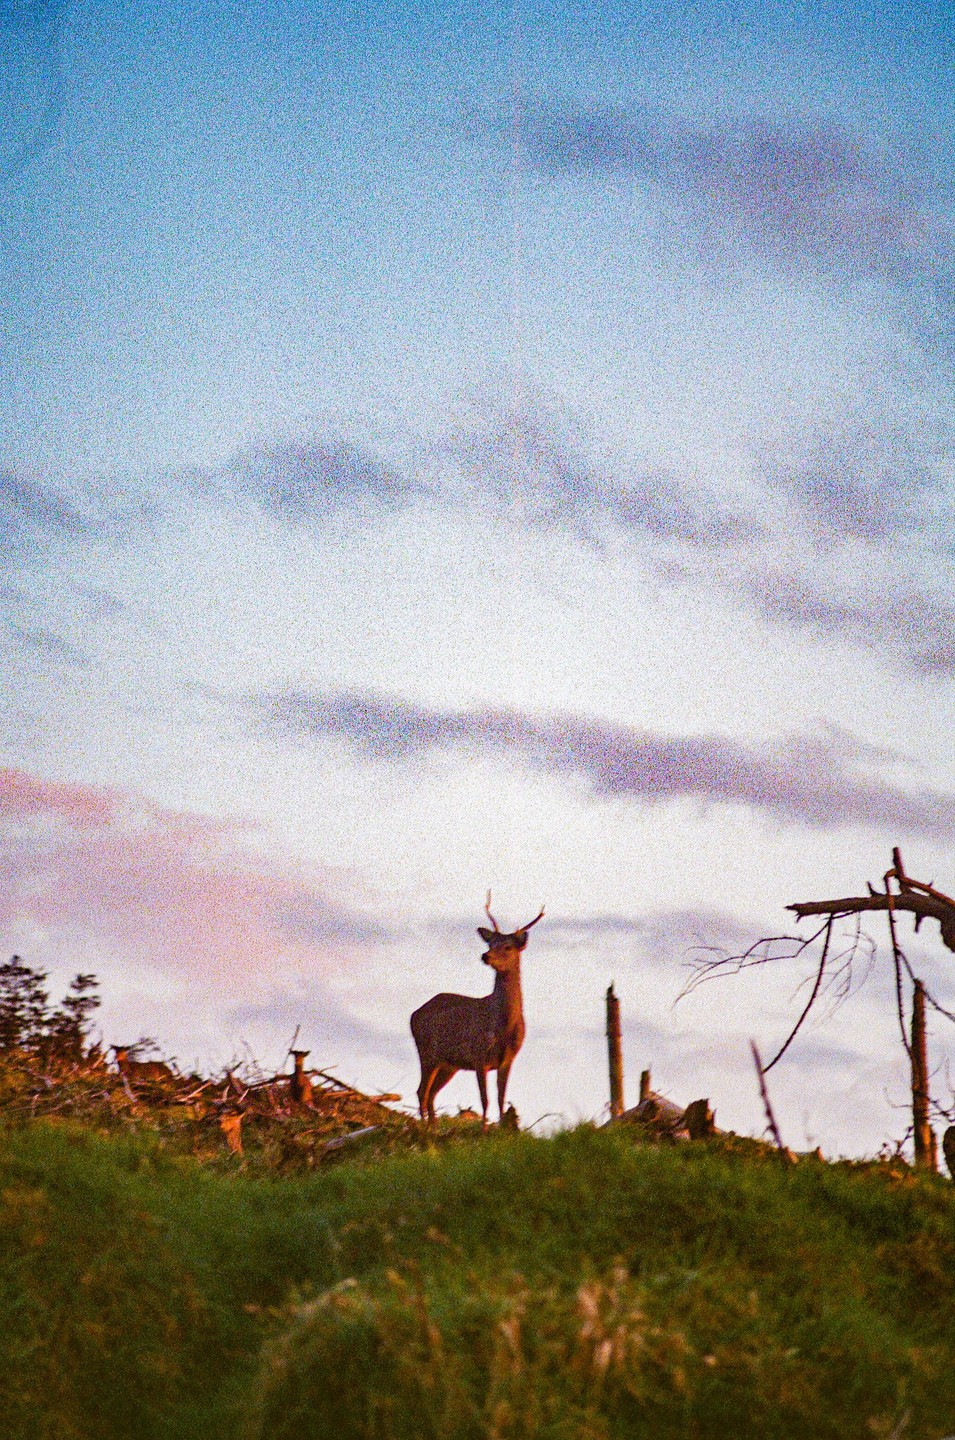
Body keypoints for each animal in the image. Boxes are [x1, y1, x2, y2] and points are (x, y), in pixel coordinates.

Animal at [411, 894, 544, 1128]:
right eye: (491, 943)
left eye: (508, 947)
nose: (485, 955)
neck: (503, 1026)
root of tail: (413, 1014)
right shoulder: (479, 1056)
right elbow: (485, 1099)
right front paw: (483, 1129)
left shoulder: (508, 1059)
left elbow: (500, 1098)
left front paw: (501, 1129)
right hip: (427, 1052)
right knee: (421, 1091)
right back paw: (426, 1128)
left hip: (449, 1064)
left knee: (431, 1093)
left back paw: (434, 1127)